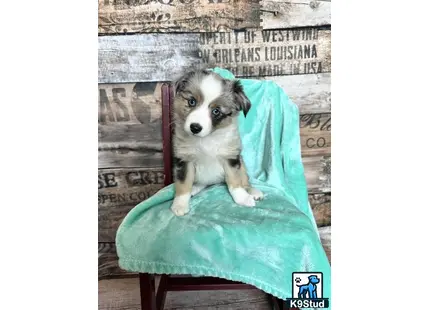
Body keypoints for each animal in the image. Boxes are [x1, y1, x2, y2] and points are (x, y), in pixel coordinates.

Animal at [170, 69, 262, 216]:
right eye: (192, 101)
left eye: (216, 111)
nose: (195, 127)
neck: (207, 138)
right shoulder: (184, 159)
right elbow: (183, 183)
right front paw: (180, 204)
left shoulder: (231, 157)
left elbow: (235, 180)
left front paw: (242, 198)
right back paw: (194, 188)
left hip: (242, 163)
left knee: (244, 179)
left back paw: (252, 191)